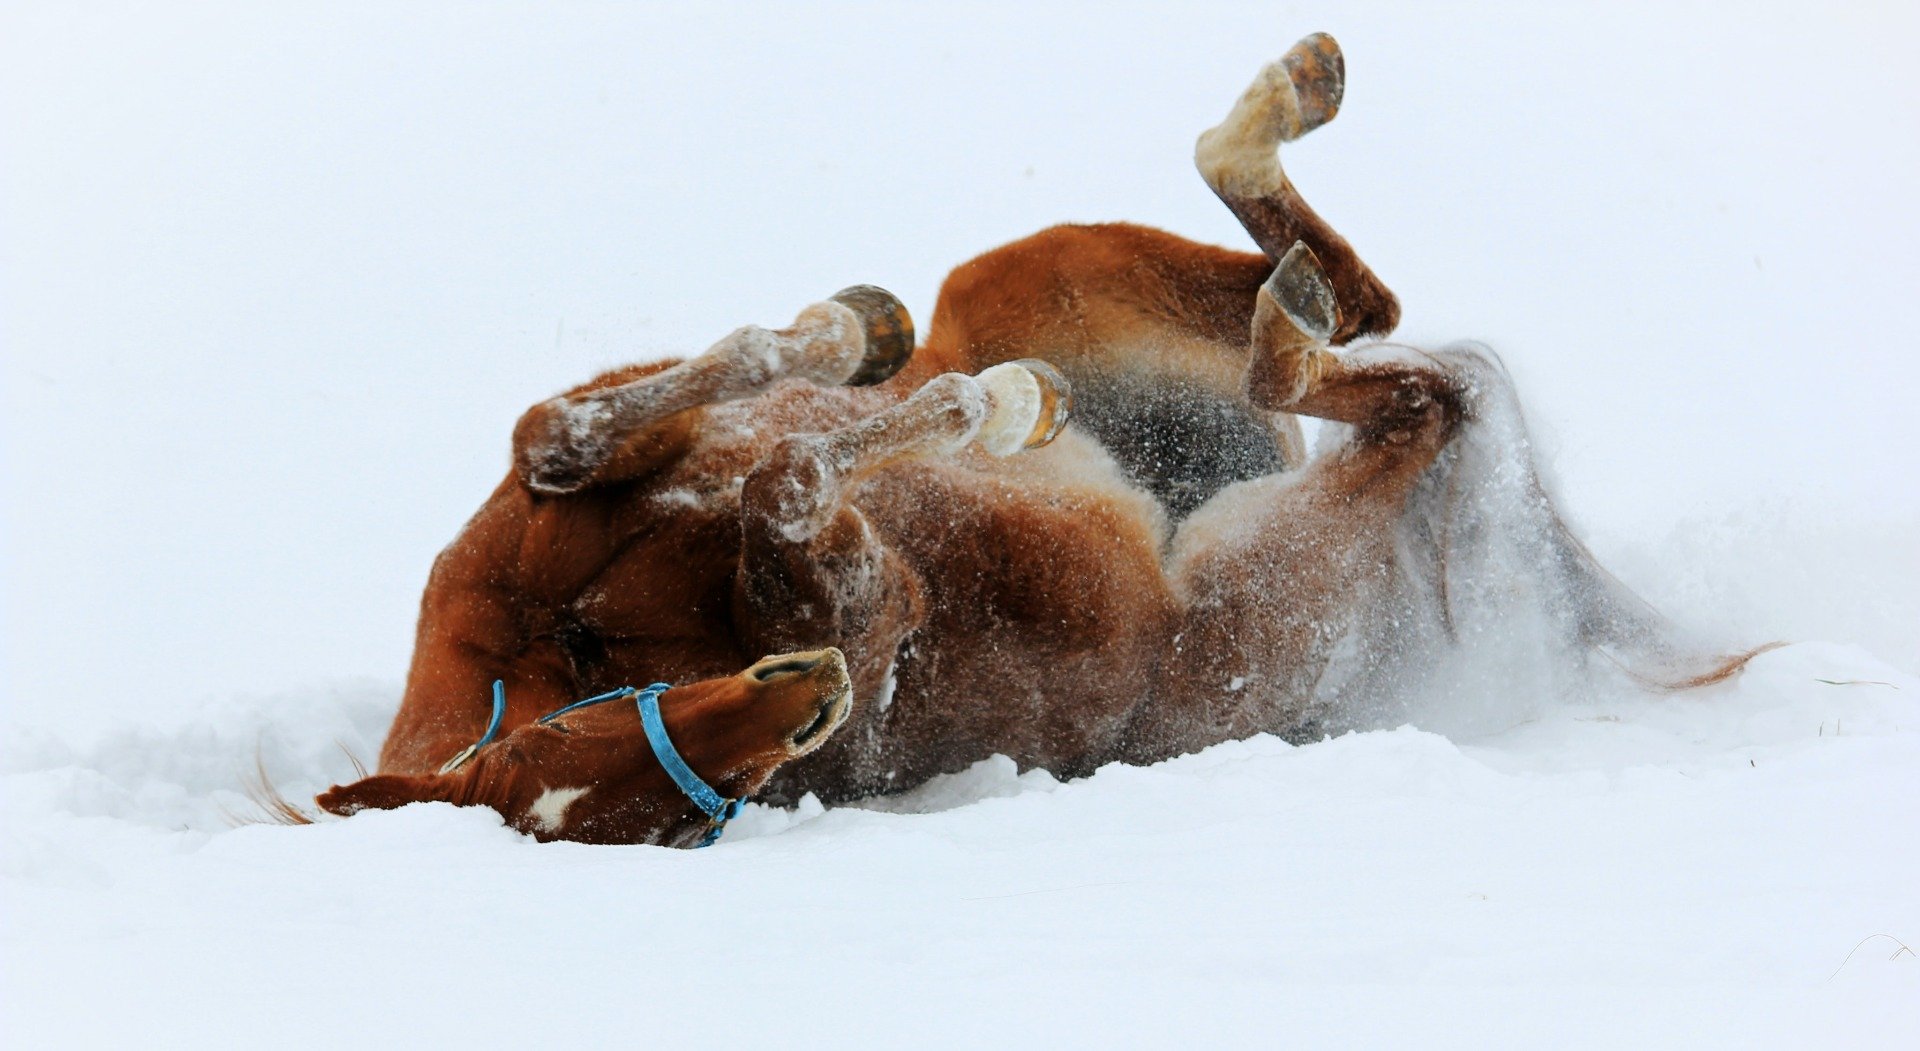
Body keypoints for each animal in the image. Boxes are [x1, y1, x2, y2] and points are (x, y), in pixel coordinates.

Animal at [314, 35, 1766, 845]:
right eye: (682, 829)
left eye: (567, 731)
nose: (809, 700)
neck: (585, 634)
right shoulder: (866, 592)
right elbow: (793, 479)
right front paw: (987, 406)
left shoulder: (574, 489)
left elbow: (578, 429)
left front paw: (856, 337)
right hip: (1292, 557)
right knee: (1403, 376)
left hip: (1040, 269)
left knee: (1358, 300)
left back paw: (1283, 113)